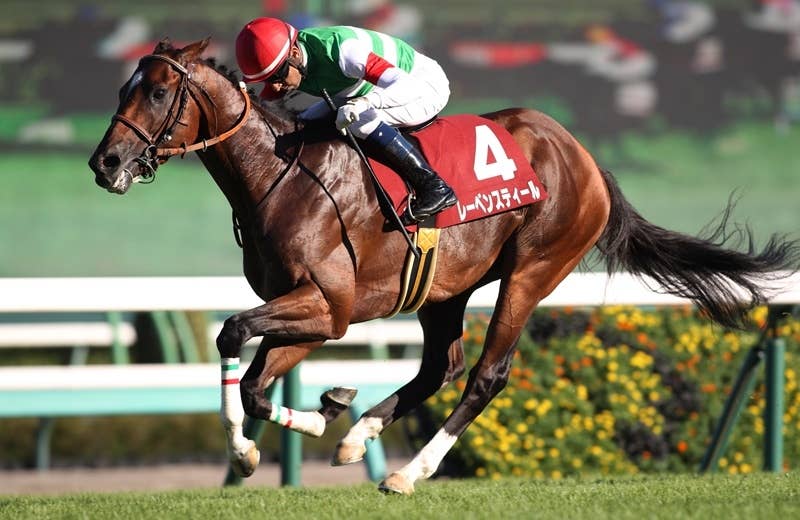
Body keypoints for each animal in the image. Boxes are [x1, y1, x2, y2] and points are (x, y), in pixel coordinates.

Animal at [89, 38, 799, 495]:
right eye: (122, 87)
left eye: (158, 91)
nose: (105, 162)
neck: (279, 177)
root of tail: (583, 155)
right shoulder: (312, 313)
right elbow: (258, 386)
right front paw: (320, 415)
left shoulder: (328, 308)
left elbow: (235, 335)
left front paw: (256, 444)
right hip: (442, 288)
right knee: (439, 367)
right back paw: (359, 435)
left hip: (532, 270)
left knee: (485, 376)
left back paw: (408, 473)